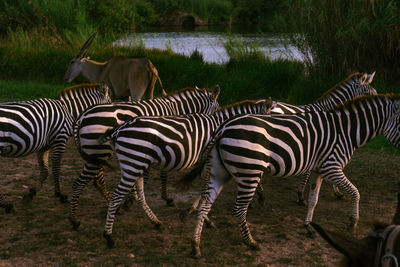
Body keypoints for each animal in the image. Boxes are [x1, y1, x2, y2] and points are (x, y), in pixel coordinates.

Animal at [68, 86, 219, 230]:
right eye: (217, 108)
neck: (175, 110)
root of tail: (82, 117)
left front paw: (134, 196)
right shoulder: (164, 143)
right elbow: (161, 174)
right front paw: (163, 197)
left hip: (94, 154)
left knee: (96, 181)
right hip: (100, 152)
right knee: (86, 182)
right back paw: (76, 221)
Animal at [98, 98, 276, 249]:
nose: (274, 147)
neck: (224, 128)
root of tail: (119, 128)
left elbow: (205, 190)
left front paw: (197, 214)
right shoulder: (210, 162)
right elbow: (205, 190)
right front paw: (200, 216)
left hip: (135, 163)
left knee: (140, 195)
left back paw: (155, 222)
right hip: (134, 162)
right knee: (117, 196)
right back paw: (109, 237)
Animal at [190, 94, 400, 260]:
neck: (345, 132)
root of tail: (223, 127)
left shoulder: (319, 170)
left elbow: (313, 199)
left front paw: (308, 227)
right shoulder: (331, 166)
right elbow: (356, 192)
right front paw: (352, 224)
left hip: (221, 172)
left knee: (206, 203)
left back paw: (196, 246)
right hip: (250, 170)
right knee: (239, 208)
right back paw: (250, 242)